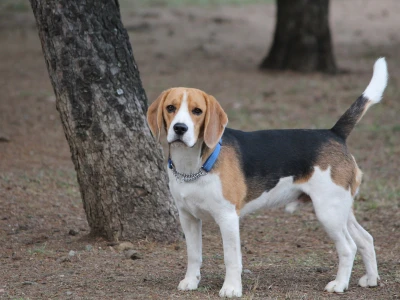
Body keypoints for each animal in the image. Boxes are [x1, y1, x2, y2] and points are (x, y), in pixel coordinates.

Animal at [146, 57, 388, 296]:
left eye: (197, 111)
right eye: (170, 108)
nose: (180, 128)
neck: (193, 165)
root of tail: (334, 133)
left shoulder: (228, 217)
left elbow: (231, 258)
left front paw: (231, 288)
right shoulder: (188, 217)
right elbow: (194, 254)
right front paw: (191, 281)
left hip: (328, 211)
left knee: (349, 247)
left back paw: (339, 284)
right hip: (341, 209)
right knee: (366, 239)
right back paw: (371, 279)